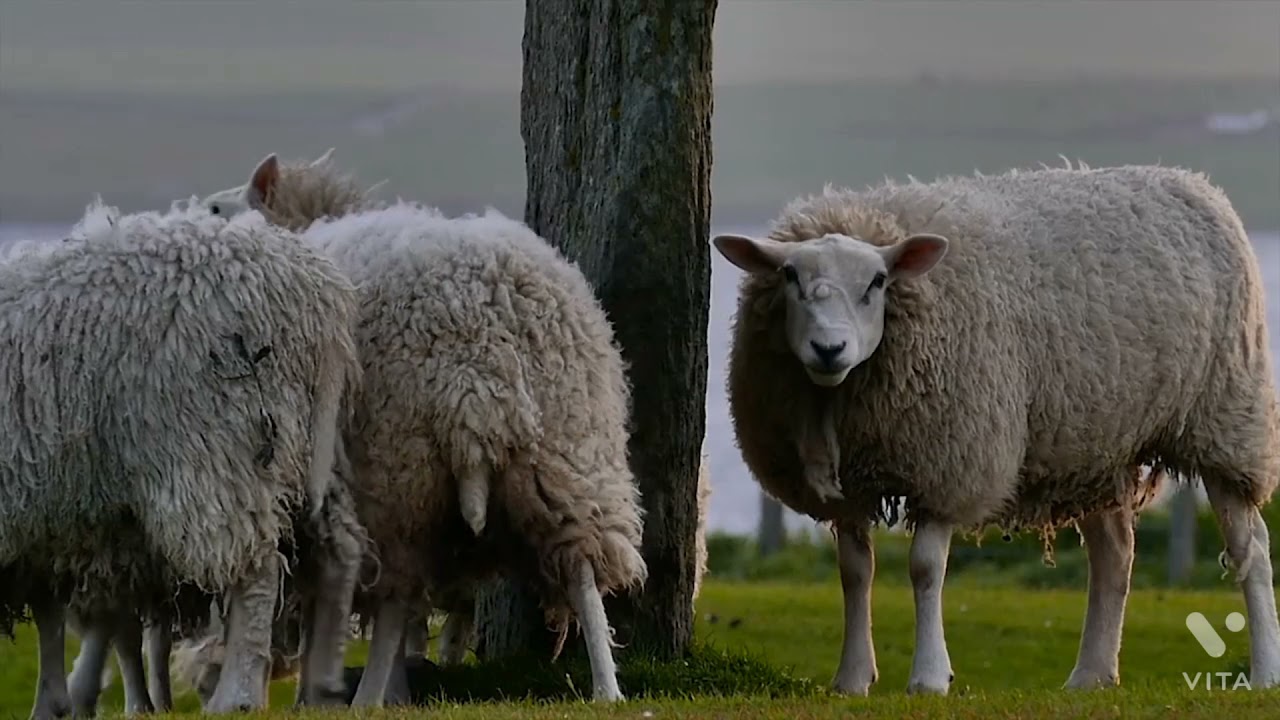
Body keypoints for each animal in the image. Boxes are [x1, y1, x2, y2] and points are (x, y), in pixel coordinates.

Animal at [0, 197, 365, 716]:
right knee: (336, 554)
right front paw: (51, 704)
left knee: (255, 571)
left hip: (217, 448)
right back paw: (321, 691)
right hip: (307, 450)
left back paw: (236, 696)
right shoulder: (37, 520)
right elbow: (49, 613)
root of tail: (316, 298)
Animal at [196, 150, 647, 706]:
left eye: (216, 208)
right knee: (583, 567)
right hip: (569, 450)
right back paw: (607, 687)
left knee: (395, 595)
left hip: (396, 471)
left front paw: (315, 696)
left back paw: (369, 696)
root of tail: (480, 365)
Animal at [712, 163, 1280, 695]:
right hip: (1096, 443)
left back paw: (1264, 671)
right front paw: (852, 678)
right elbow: (854, 572)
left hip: (1227, 419)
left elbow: (925, 569)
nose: (829, 349)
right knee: (1114, 555)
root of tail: (1192, 182)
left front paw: (929, 677)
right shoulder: (848, 488)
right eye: (789, 276)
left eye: (877, 282)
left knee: (1250, 546)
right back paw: (1091, 675)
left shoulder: (950, 463)